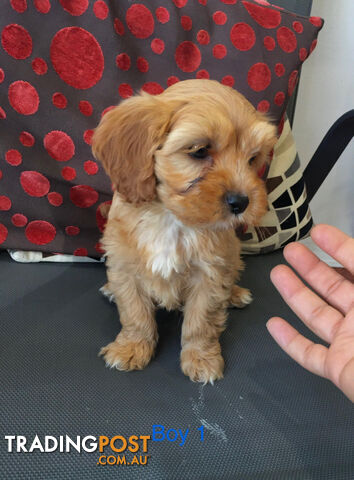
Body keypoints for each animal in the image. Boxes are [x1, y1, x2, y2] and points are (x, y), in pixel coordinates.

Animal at [92, 80, 276, 384]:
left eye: (252, 159)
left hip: (233, 256)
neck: (172, 219)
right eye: (199, 151)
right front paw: (132, 347)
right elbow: (134, 313)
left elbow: (201, 321)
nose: (242, 202)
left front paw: (201, 357)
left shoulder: (210, 275)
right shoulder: (125, 266)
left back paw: (235, 294)